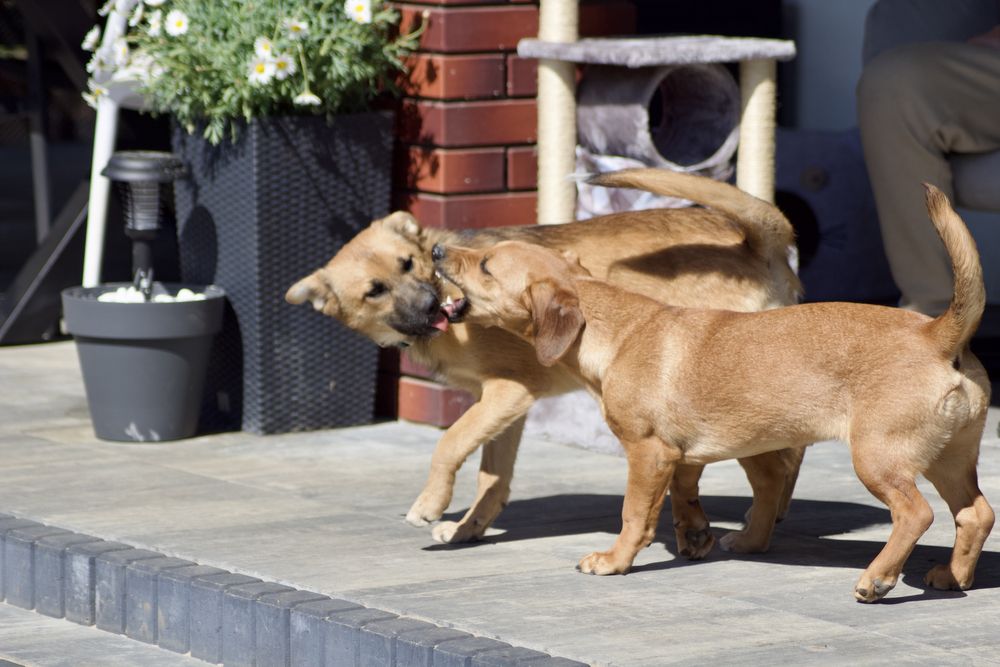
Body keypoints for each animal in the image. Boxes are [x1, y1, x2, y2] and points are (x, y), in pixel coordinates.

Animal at [290, 170, 804, 556]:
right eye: (374, 290)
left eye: (407, 263)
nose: (430, 303)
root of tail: (755, 243)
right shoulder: (507, 403)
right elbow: (492, 476)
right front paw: (468, 528)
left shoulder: (507, 392)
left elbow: (449, 443)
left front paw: (431, 504)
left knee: (777, 456)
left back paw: (752, 517)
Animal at [434, 185, 996, 604]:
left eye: (486, 266)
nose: (437, 250)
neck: (617, 329)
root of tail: (938, 334)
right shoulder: (680, 453)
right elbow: (685, 494)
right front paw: (695, 536)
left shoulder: (646, 451)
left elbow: (634, 514)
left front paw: (614, 561)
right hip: (948, 457)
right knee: (975, 513)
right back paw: (952, 577)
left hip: (878, 457)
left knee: (916, 514)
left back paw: (877, 579)